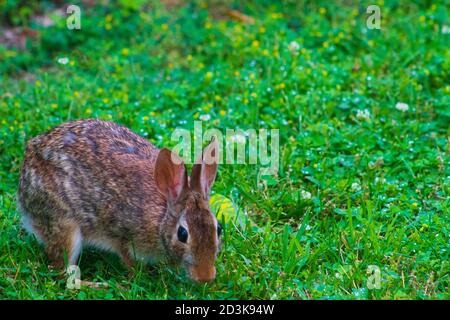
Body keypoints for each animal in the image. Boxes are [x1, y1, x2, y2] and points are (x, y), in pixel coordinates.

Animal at [17, 119, 221, 282]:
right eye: (182, 234)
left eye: (218, 229)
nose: (206, 277)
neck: (161, 218)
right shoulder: (122, 235)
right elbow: (127, 258)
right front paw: (136, 276)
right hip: (64, 225)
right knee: (62, 271)